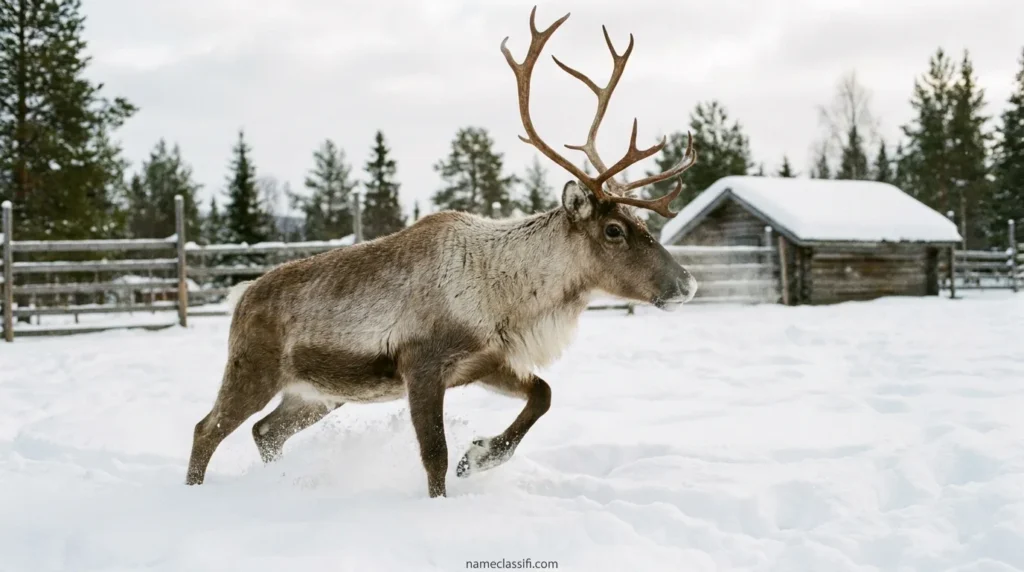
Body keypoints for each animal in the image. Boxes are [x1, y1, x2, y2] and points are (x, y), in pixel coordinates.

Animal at [184, 6, 699, 498]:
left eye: (643, 223)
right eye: (614, 230)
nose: (688, 283)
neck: (507, 294)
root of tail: (241, 296)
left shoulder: (486, 361)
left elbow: (544, 394)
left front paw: (480, 456)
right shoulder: (422, 366)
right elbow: (435, 456)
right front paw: (445, 497)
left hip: (317, 394)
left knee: (265, 431)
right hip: (253, 368)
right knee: (207, 429)